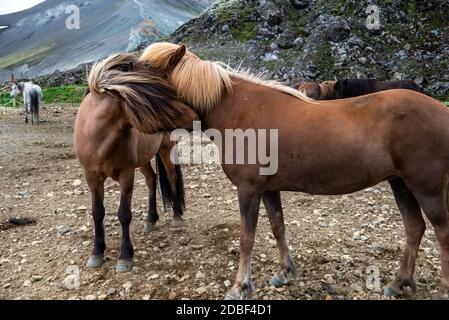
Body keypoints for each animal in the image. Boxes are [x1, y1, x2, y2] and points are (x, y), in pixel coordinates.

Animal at [73, 53, 186, 272]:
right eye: (156, 97)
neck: (98, 138)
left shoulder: (126, 175)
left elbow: (124, 214)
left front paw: (125, 256)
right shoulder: (91, 177)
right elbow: (97, 212)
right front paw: (96, 253)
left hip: (166, 150)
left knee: (171, 177)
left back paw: (177, 216)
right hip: (143, 159)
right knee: (152, 179)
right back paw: (151, 219)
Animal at [89, 43, 448, 300]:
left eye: (145, 70)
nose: (113, 84)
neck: (239, 110)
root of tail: (440, 110)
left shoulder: (249, 189)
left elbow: (247, 238)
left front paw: (240, 286)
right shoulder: (269, 189)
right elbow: (278, 228)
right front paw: (285, 272)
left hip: (425, 187)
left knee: (440, 232)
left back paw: (441, 287)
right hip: (400, 184)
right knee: (414, 228)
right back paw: (399, 282)